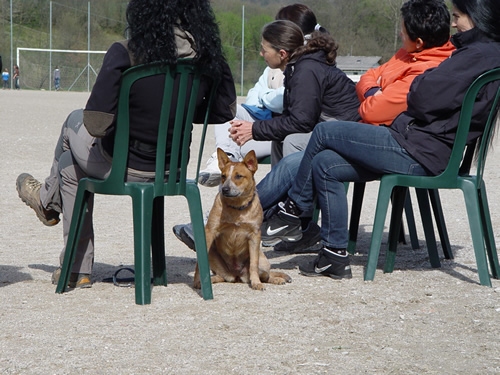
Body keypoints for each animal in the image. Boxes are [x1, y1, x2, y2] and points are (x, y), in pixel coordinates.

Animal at [193, 148, 292, 290]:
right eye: (223, 176)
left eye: (238, 176)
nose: (225, 189)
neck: (237, 208)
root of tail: (236, 275)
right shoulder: (210, 232)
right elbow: (199, 263)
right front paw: (197, 281)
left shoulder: (255, 236)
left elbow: (253, 265)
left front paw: (256, 283)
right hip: (214, 255)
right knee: (220, 276)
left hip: (263, 260)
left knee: (266, 275)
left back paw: (275, 279)